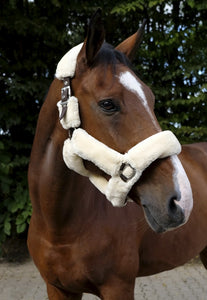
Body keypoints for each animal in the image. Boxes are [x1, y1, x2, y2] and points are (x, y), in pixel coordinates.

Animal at [27, 9, 207, 300]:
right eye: (108, 104)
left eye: (151, 99)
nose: (181, 200)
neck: (59, 227)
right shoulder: (56, 288)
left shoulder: (118, 286)